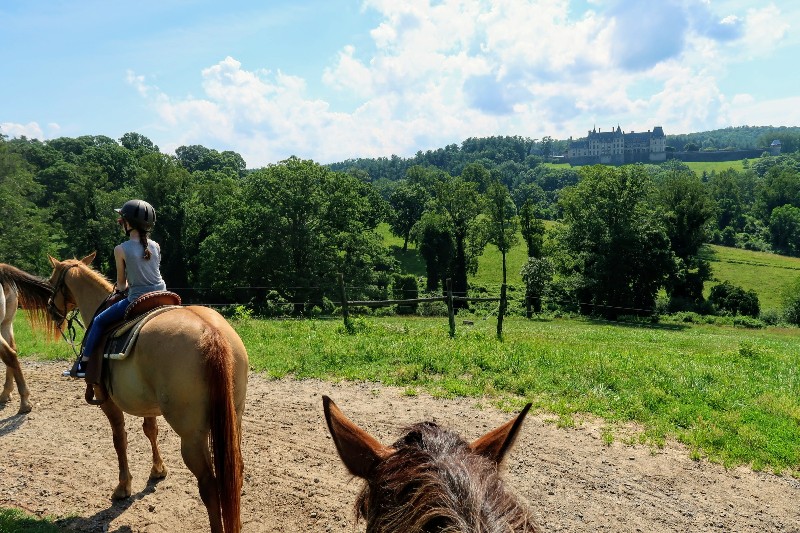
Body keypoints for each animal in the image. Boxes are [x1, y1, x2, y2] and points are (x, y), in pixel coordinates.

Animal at [46, 255, 247, 532]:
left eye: (51, 280)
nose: (50, 309)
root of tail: (211, 333)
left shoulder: (107, 401)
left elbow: (119, 439)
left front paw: (123, 487)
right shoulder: (148, 405)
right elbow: (151, 431)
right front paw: (158, 470)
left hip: (192, 437)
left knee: (208, 484)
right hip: (233, 420)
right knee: (235, 471)